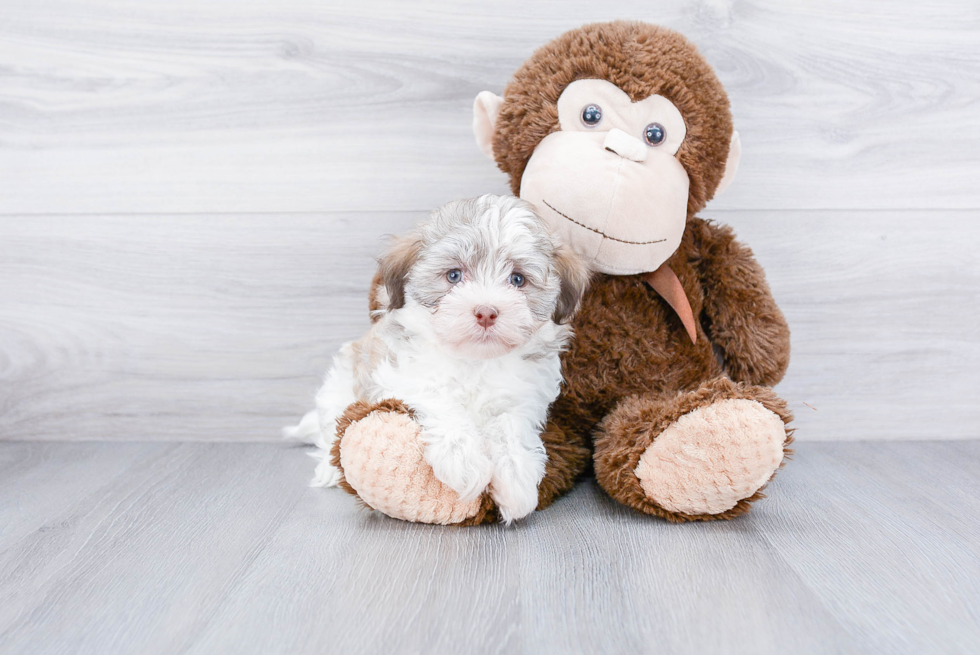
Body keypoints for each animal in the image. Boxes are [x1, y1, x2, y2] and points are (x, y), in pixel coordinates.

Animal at [284, 193, 588, 524]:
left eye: (518, 280)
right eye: (454, 275)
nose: (486, 312)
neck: (474, 360)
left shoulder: (523, 396)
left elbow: (510, 427)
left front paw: (515, 480)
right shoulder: (401, 372)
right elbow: (440, 399)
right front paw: (464, 461)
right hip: (339, 387)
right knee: (330, 430)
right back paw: (328, 470)